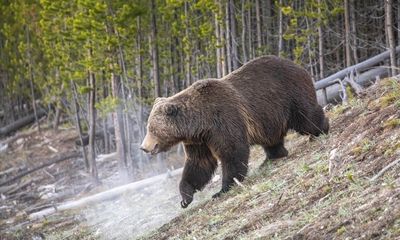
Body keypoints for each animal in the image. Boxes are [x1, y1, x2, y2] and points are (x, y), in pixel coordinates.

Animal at [141, 55, 328, 207]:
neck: (199, 122)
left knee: (305, 116)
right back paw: (272, 157)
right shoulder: (199, 140)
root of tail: (298, 65)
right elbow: (199, 163)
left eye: (151, 129)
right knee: (271, 138)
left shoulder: (222, 120)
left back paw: (321, 130)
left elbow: (232, 151)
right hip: (268, 116)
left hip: (289, 94)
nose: (143, 147)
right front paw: (185, 197)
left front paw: (222, 189)